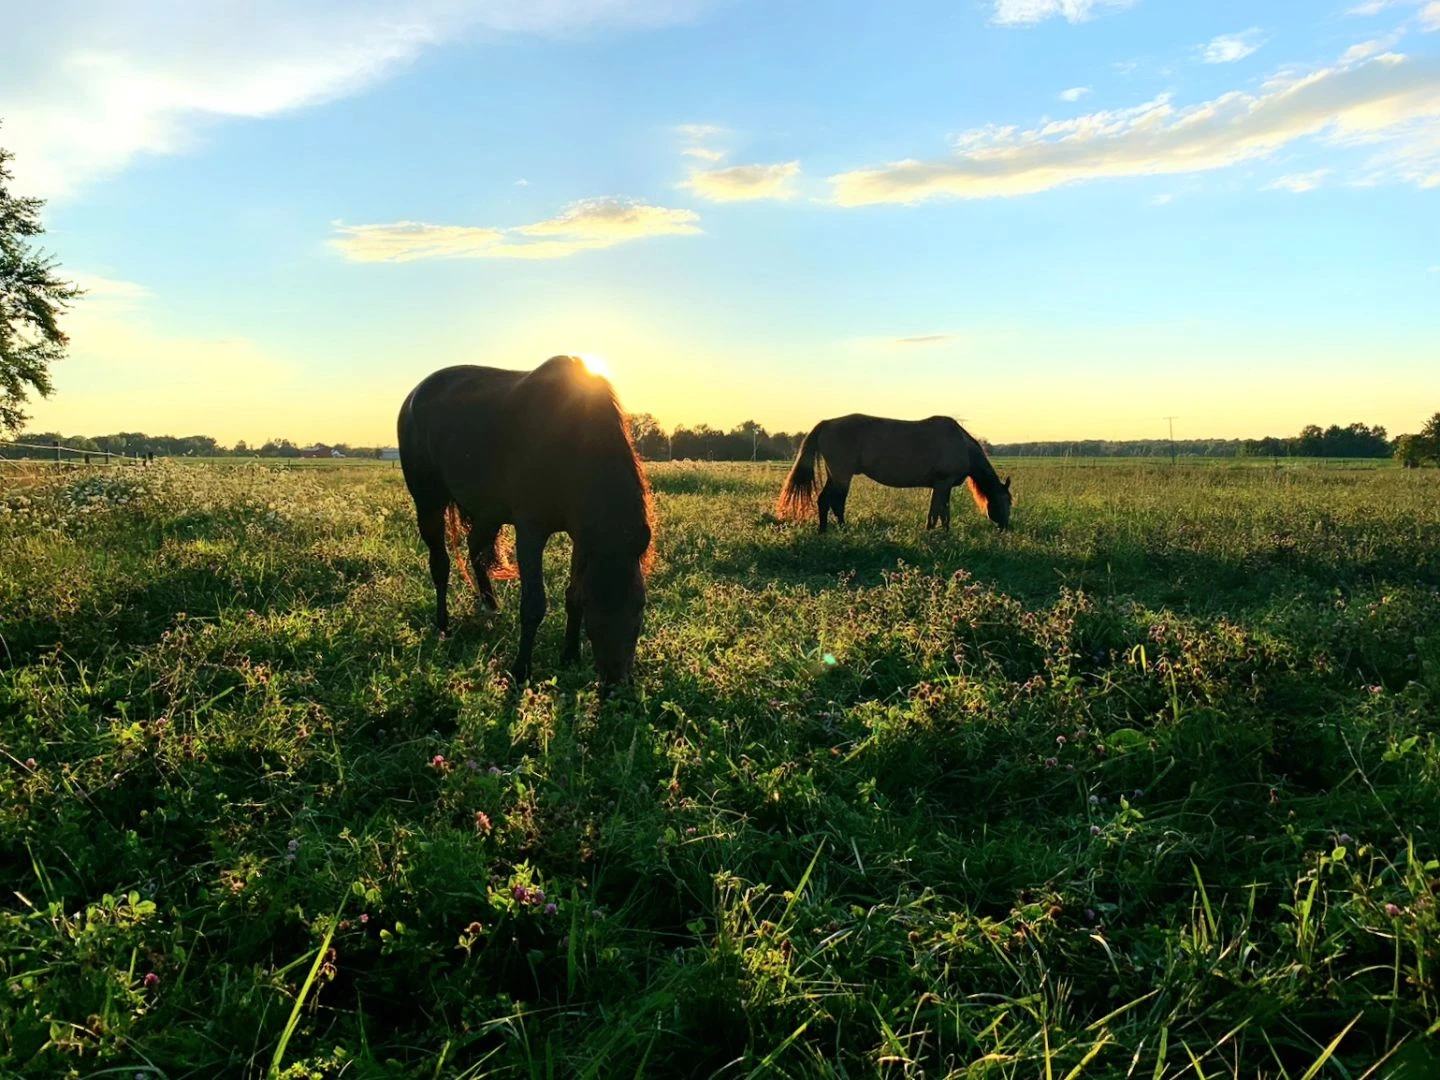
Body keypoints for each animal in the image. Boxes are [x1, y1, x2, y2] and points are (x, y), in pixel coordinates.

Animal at [400, 360, 659, 688]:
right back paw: (444, 626)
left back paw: (490, 608)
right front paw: (521, 670)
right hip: (429, 504)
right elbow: (534, 605)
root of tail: (414, 395)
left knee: (476, 552)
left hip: (487, 511)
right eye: (595, 606)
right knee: (440, 565)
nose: (616, 686)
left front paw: (570, 656)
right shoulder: (530, 532)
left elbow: (572, 595)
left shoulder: (582, 538)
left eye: (640, 605)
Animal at [777, 414, 1013, 532]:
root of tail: (826, 423)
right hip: (842, 475)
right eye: (1007, 501)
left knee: (827, 501)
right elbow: (941, 511)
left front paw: (934, 531)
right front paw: (940, 534)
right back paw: (836, 530)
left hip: (835, 475)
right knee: (833, 501)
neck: (961, 444)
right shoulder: (944, 483)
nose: (1005, 527)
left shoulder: (940, 486)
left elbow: (937, 511)